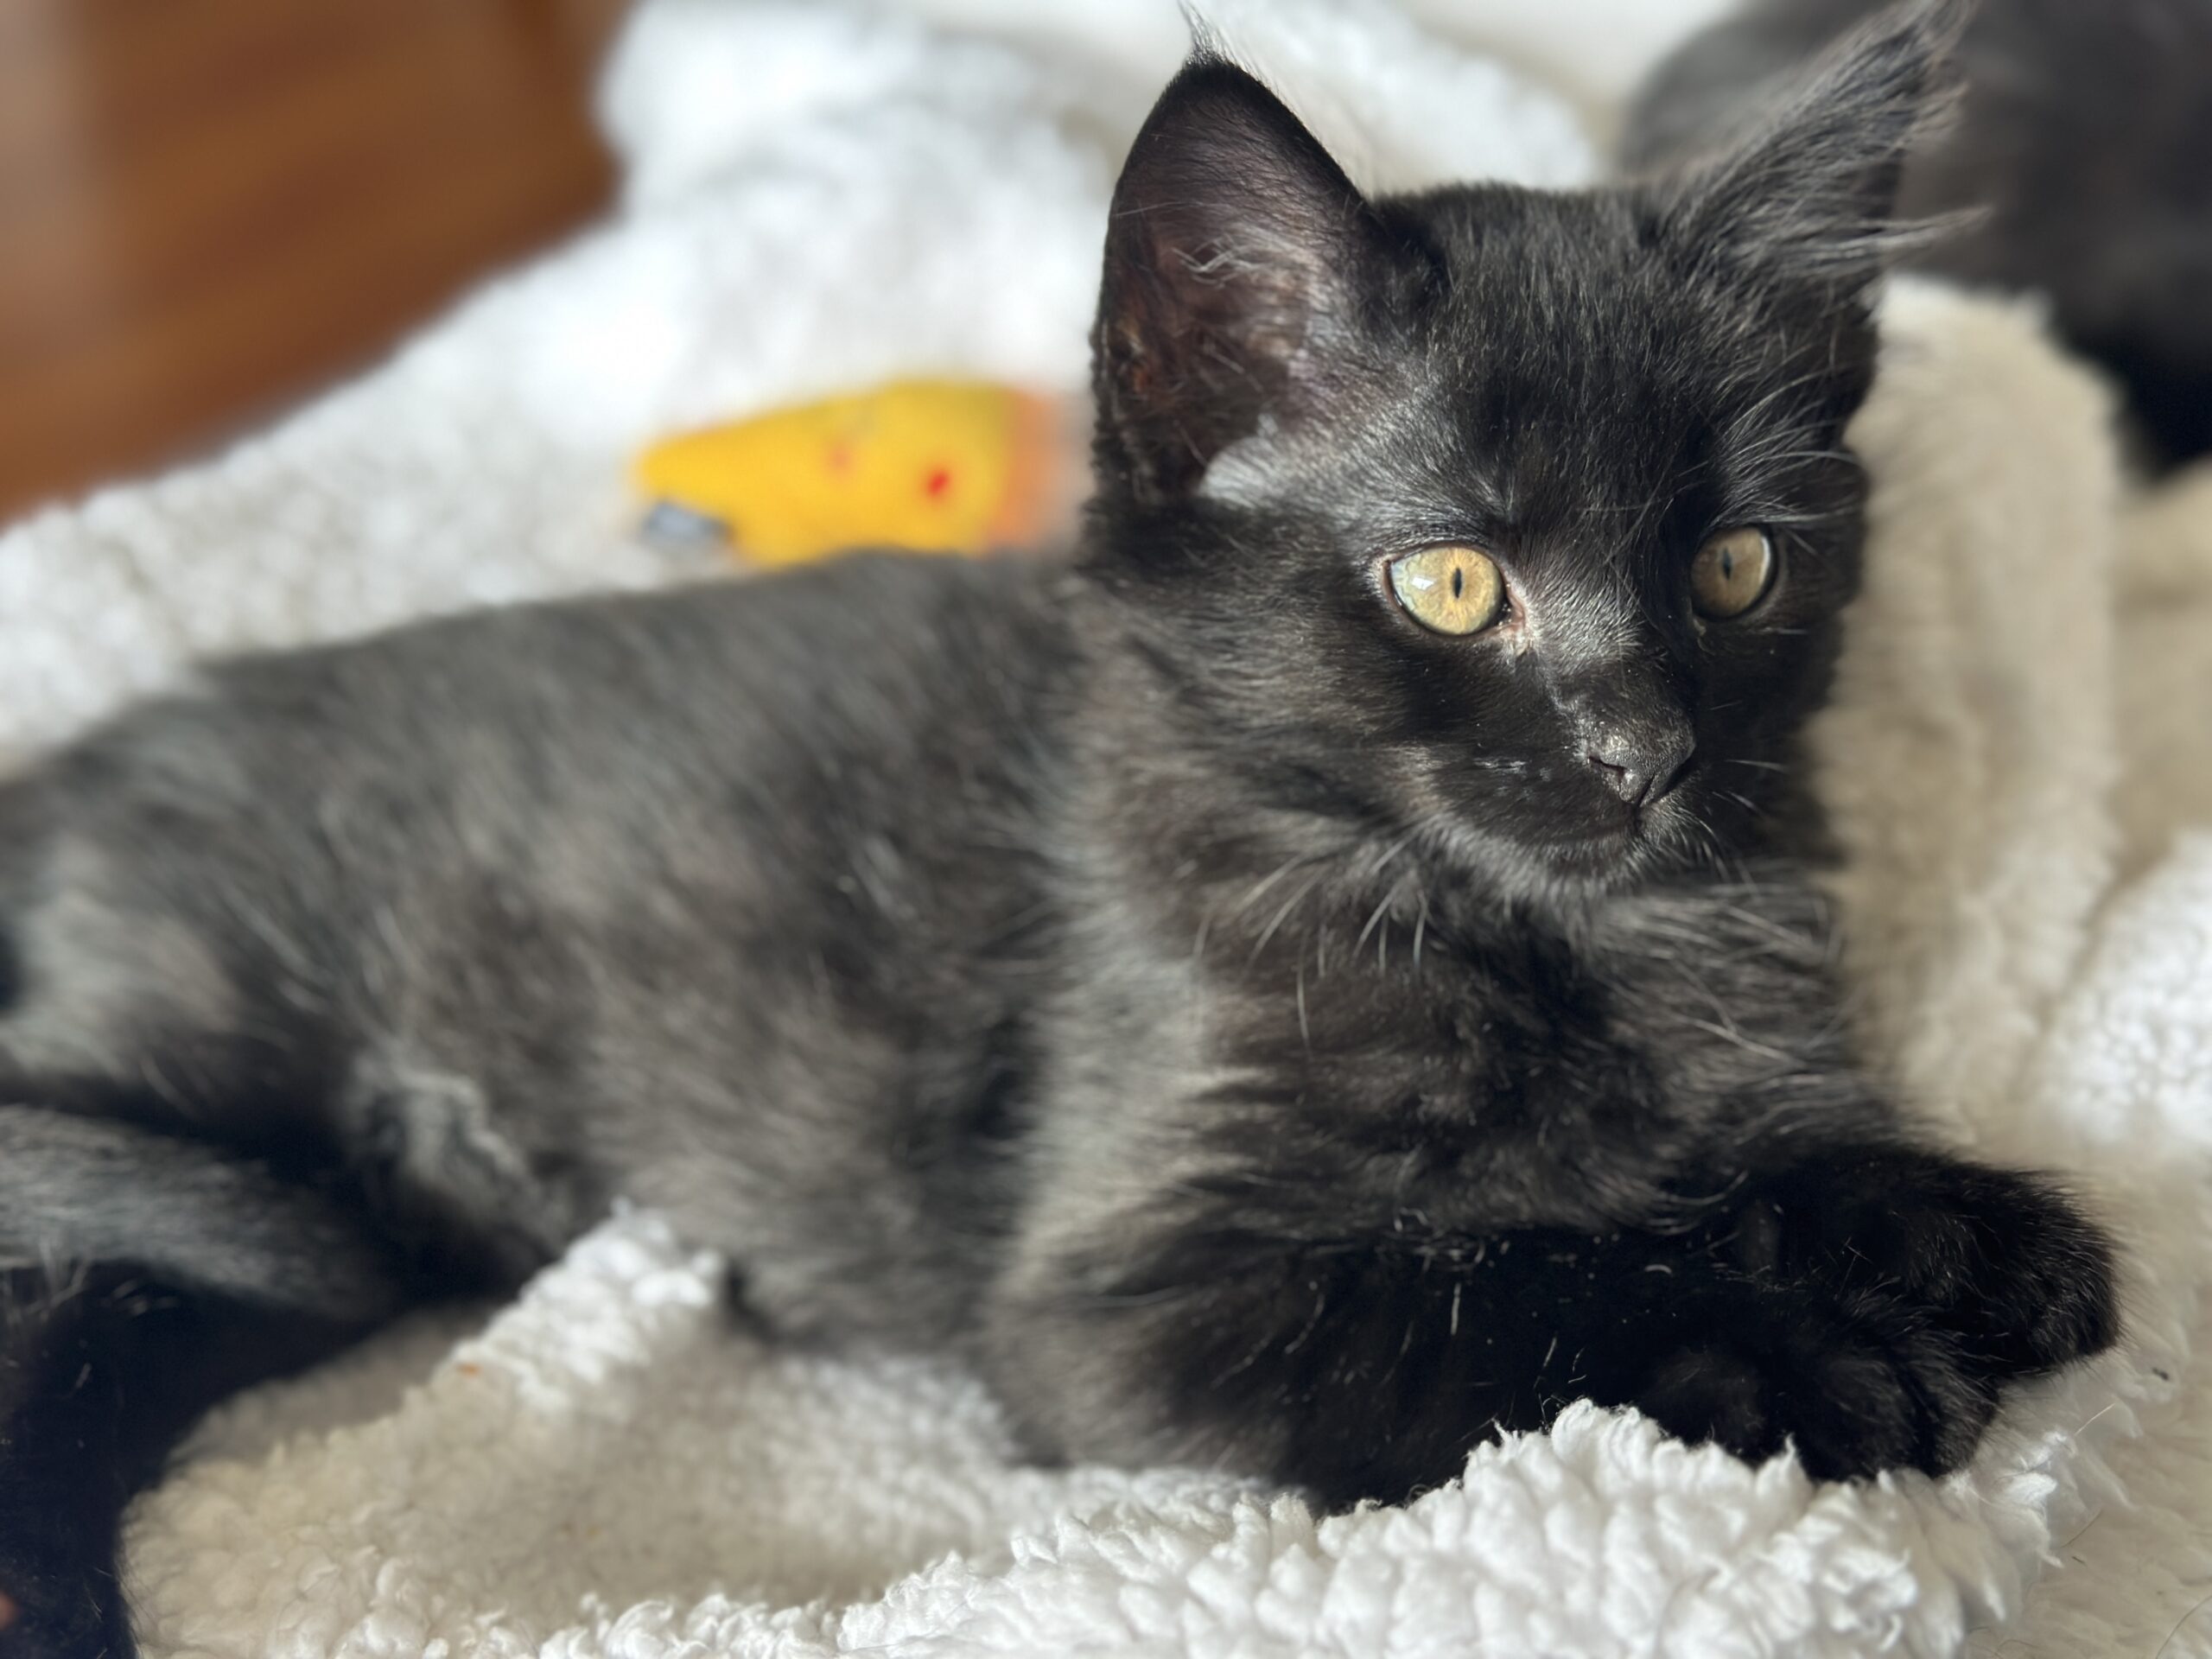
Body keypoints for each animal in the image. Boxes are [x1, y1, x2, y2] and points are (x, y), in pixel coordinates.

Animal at [0, 4, 2124, 1655]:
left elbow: (1707, 1171)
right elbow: (1507, 1277)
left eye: (1735, 566)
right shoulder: (1117, 1305)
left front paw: (1947, 1226)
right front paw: (1799, 1353)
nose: (1643, 752)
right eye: (1452, 586)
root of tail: (96, 759)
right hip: (237, 1139)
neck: (1526, 936)